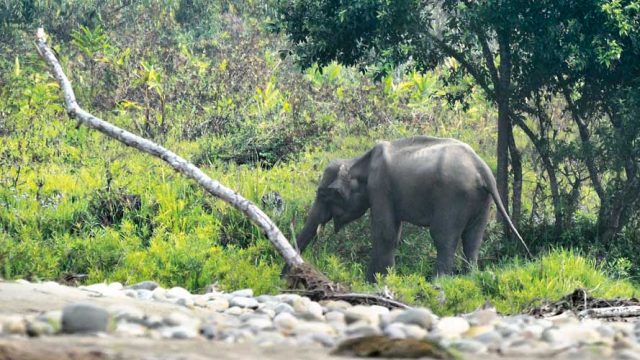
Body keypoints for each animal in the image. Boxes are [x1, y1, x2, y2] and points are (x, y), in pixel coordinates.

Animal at [292, 135, 528, 282]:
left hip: (453, 197)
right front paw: (376, 280)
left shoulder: (380, 186)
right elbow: (393, 234)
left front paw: (377, 282)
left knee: (444, 237)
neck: (360, 161)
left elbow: (385, 233)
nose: (286, 277)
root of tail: (482, 169)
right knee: (473, 239)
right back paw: (469, 278)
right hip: (482, 201)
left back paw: (438, 282)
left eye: (324, 195)